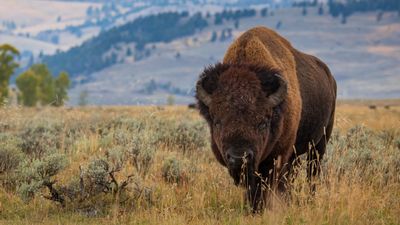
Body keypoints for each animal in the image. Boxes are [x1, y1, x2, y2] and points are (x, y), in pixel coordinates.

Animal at [195, 26, 336, 211]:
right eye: (217, 122)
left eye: (263, 123)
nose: (239, 158)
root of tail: (330, 77)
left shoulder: (278, 156)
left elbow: (268, 184)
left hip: (320, 143)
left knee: (312, 173)